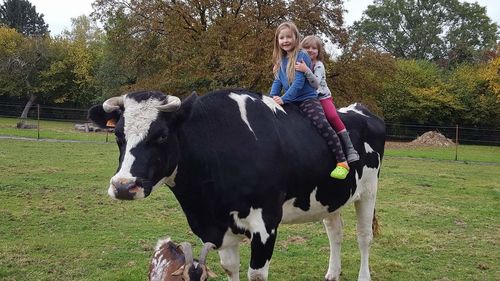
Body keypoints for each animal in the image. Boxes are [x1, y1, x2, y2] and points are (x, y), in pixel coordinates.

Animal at [89, 88, 386, 280]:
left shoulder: (266, 223)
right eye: (118, 136)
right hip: (330, 196)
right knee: (335, 232)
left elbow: (256, 274)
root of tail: (358, 109)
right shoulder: (218, 228)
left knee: (363, 236)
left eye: (161, 135)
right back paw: (332, 273)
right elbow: (231, 268)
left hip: (369, 191)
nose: (123, 186)